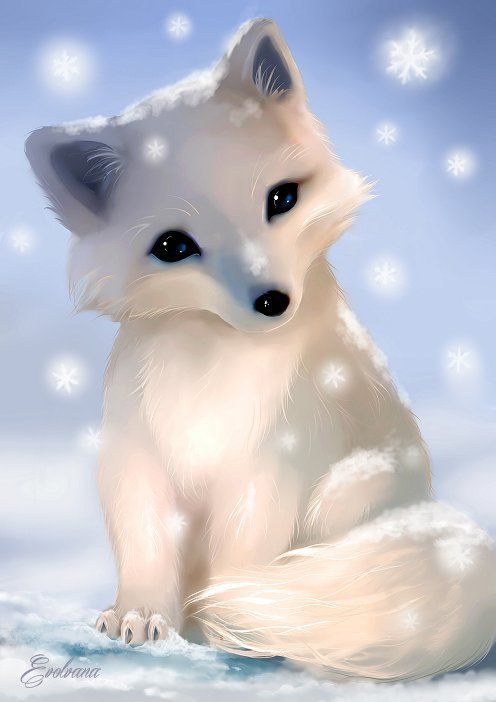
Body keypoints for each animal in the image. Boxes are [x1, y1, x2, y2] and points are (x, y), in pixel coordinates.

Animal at [25, 18, 496, 681]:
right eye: (173, 246)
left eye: (281, 199)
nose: (274, 301)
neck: (212, 368)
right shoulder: (135, 457)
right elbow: (143, 543)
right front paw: (140, 615)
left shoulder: (273, 465)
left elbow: (240, 556)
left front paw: (225, 623)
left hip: (346, 492)